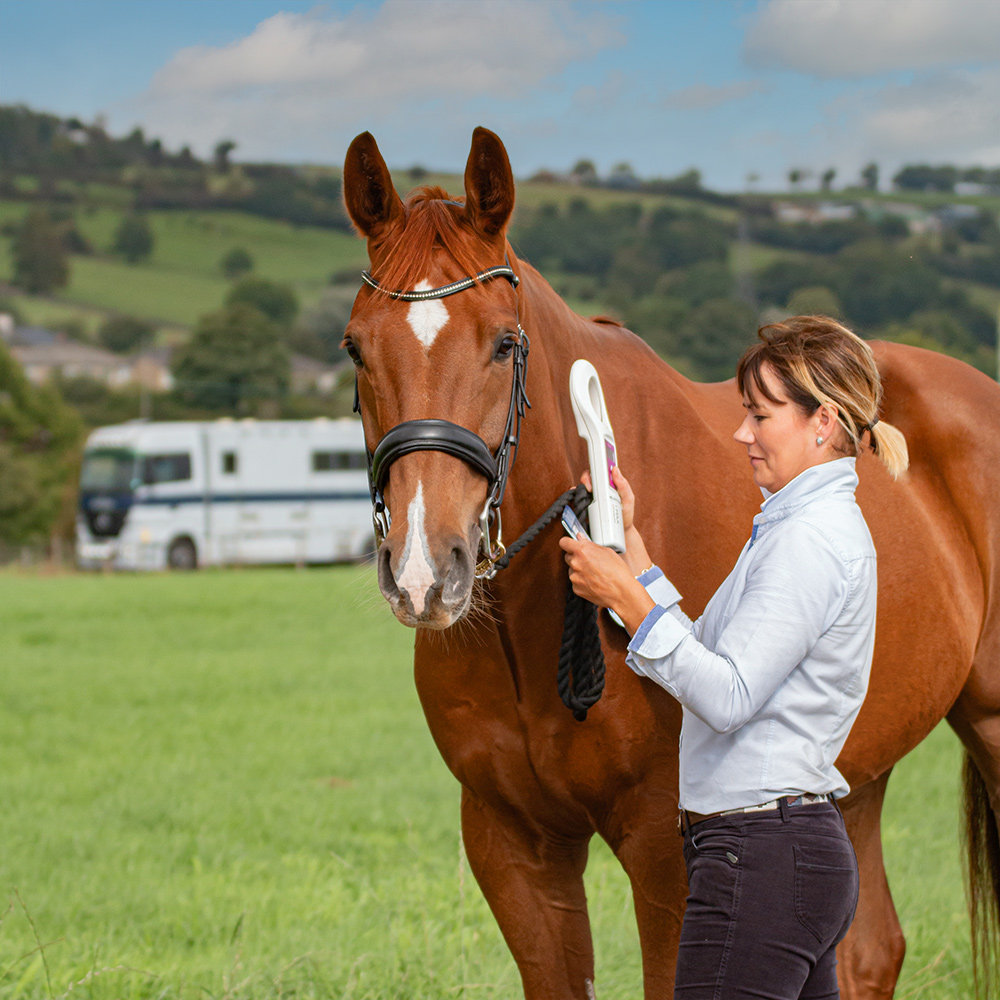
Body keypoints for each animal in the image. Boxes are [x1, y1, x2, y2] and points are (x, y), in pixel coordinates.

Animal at [341, 126, 1000, 998]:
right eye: (355, 347)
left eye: (504, 343)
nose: (424, 571)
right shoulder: (513, 843)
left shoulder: (667, 849)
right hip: (854, 773)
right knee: (867, 950)